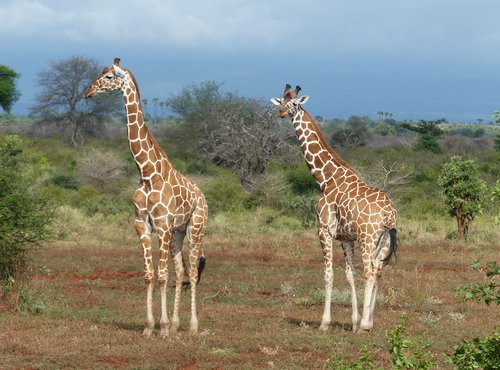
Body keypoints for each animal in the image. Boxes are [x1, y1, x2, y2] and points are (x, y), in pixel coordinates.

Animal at [85, 58, 206, 338]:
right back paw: (177, 324)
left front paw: (162, 328)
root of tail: (203, 196)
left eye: (109, 77)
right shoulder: (142, 226)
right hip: (178, 232)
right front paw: (150, 326)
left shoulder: (161, 226)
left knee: (193, 272)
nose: (88, 91)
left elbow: (162, 276)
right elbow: (150, 275)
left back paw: (193, 327)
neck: (147, 172)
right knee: (181, 271)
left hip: (195, 228)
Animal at [272, 84, 396, 332]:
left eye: (294, 103)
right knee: (378, 271)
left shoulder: (323, 231)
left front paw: (325, 322)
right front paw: (354, 321)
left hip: (368, 237)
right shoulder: (345, 237)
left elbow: (328, 274)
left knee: (370, 271)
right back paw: (369, 322)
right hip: (383, 240)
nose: (280, 113)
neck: (326, 178)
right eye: (281, 101)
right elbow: (350, 274)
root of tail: (389, 213)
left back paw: (367, 324)